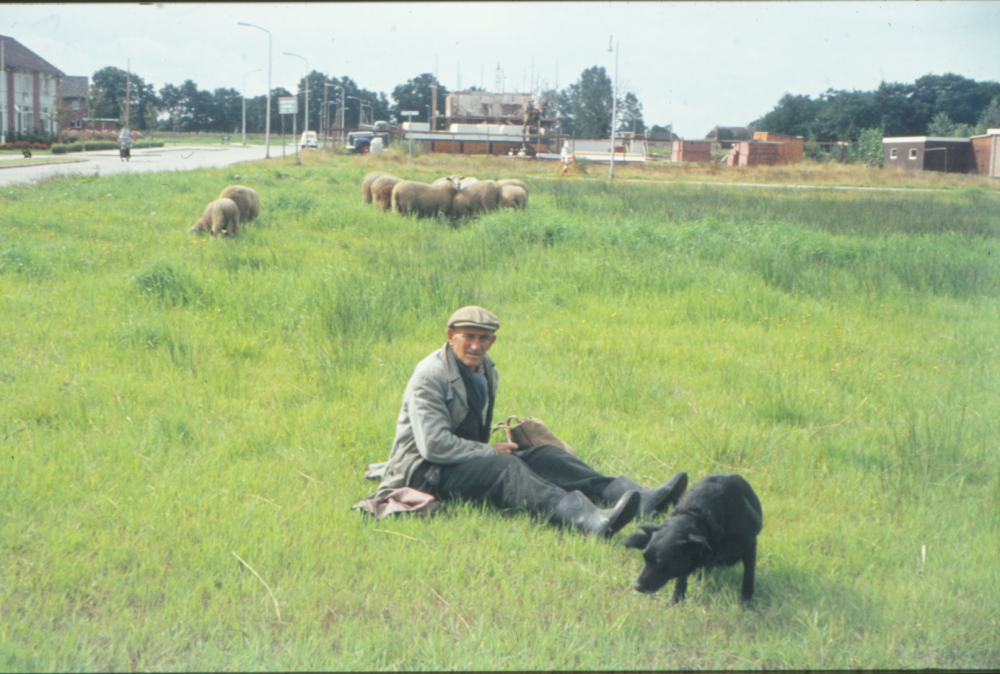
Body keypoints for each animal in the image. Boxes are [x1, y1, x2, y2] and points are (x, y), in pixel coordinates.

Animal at [624, 472, 764, 604]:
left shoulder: (750, 545)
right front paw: (676, 601)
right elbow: (681, 578)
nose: (637, 587)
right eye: (645, 557)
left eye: (661, 563)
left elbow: (749, 576)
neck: (700, 516)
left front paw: (746, 601)